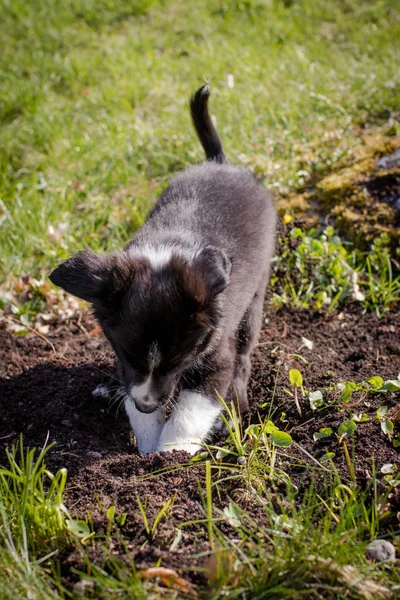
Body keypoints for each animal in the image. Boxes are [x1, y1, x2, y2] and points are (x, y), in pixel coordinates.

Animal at [49, 85, 276, 454]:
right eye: (126, 354)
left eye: (177, 362)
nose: (147, 404)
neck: (164, 253)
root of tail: (219, 163)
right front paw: (146, 446)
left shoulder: (215, 358)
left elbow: (189, 413)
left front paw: (170, 455)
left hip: (254, 299)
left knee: (244, 355)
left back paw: (235, 410)